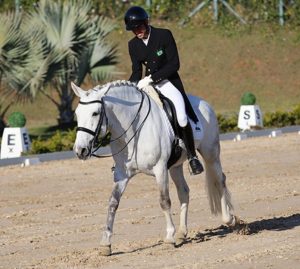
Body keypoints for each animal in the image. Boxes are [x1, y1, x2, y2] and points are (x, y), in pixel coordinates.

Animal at [71, 80, 239, 255]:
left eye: (95, 113)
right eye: (77, 114)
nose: (80, 150)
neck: (134, 129)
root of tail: (205, 103)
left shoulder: (160, 169)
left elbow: (164, 201)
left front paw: (169, 238)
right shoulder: (122, 174)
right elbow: (113, 203)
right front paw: (106, 243)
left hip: (211, 154)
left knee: (220, 181)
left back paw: (230, 219)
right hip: (176, 167)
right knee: (184, 192)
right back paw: (182, 233)